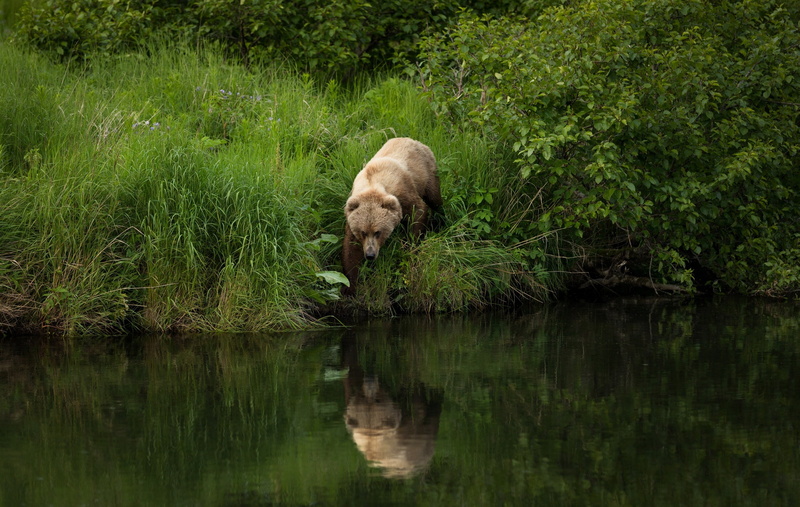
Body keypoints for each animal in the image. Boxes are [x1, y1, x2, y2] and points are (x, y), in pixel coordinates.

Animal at [342, 137, 442, 295]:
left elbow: (418, 211)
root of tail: (413, 140)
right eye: (363, 232)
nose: (370, 255)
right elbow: (350, 248)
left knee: (435, 198)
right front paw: (350, 286)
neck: (373, 185)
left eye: (378, 232)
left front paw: (411, 246)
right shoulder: (353, 209)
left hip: (428, 171)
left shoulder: (403, 192)